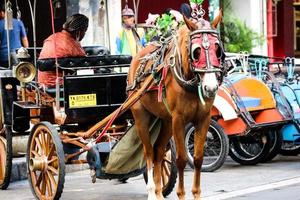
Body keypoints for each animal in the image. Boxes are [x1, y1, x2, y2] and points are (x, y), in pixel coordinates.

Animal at [127, 11, 224, 199]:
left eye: (217, 49)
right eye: (196, 51)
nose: (210, 88)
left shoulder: (204, 118)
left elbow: (198, 158)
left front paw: (196, 194)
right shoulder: (179, 119)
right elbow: (181, 159)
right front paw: (181, 194)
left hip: (165, 121)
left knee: (158, 151)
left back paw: (159, 191)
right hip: (141, 116)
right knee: (149, 152)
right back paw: (152, 192)